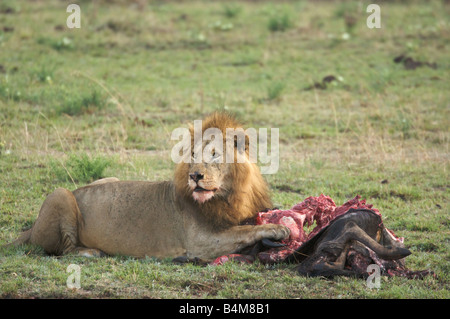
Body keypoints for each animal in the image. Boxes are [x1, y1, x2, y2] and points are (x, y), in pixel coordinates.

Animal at [8, 112, 290, 262]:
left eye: (214, 155)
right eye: (193, 155)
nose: (195, 175)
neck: (230, 194)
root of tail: (30, 229)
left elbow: (248, 223)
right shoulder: (200, 240)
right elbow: (245, 230)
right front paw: (278, 229)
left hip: (108, 178)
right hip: (61, 194)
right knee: (64, 250)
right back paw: (91, 252)